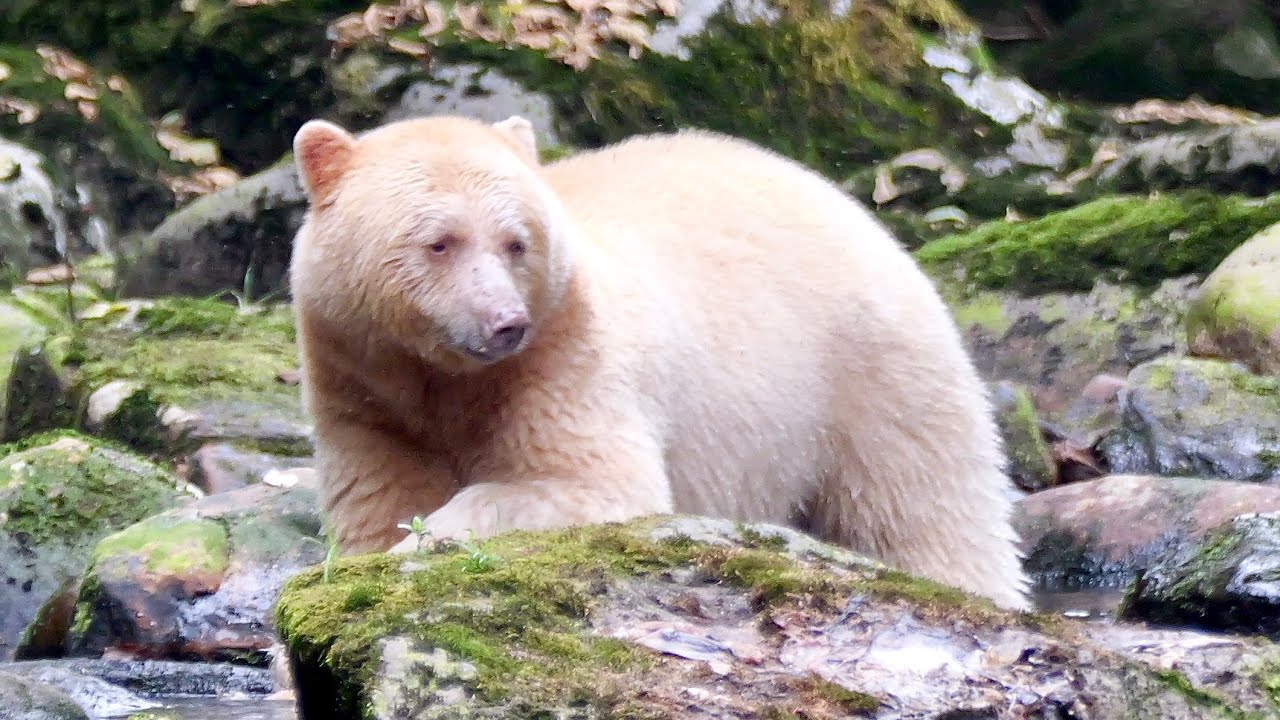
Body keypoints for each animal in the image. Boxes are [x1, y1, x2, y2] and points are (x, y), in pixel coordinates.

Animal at [288, 113, 1032, 611]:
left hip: (868, 372)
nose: (505, 323)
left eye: (515, 242)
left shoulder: (566, 359)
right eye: (439, 241)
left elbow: (597, 486)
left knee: (924, 509)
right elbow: (375, 508)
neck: (443, 381)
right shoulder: (362, 396)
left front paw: (431, 536)